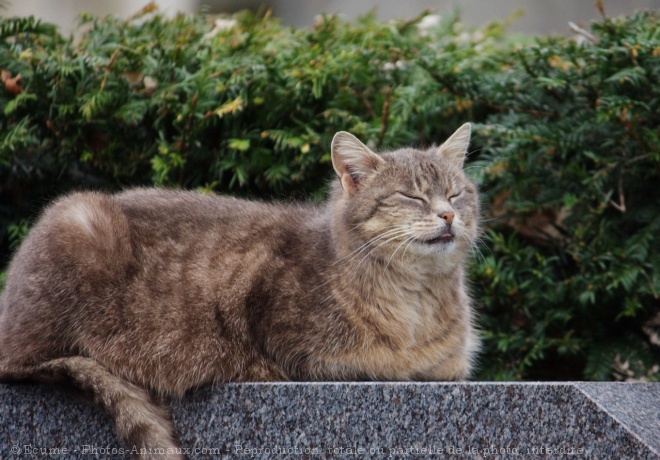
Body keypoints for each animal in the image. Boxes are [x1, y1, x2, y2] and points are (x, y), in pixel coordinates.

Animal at [0, 124, 480, 458]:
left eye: (456, 194)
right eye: (412, 197)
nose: (447, 215)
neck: (418, 298)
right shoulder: (310, 353)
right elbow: (390, 362)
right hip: (77, 221)